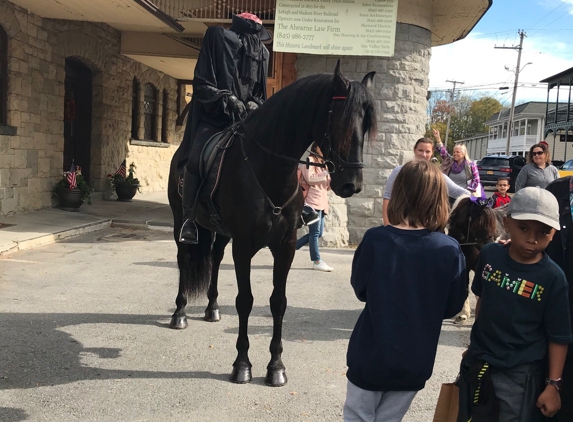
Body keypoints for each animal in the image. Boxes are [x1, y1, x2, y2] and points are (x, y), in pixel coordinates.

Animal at [168, 61, 378, 386]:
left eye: (366, 124)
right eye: (340, 120)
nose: (351, 184)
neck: (268, 170)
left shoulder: (285, 247)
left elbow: (278, 302)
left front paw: (276, 366)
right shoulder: (243, 247)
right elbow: (245, 300)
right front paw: (242, 364)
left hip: (221, 233)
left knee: (214, 258)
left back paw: (212, 308)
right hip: (181, 222)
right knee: (184, 258)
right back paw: (179, 313)